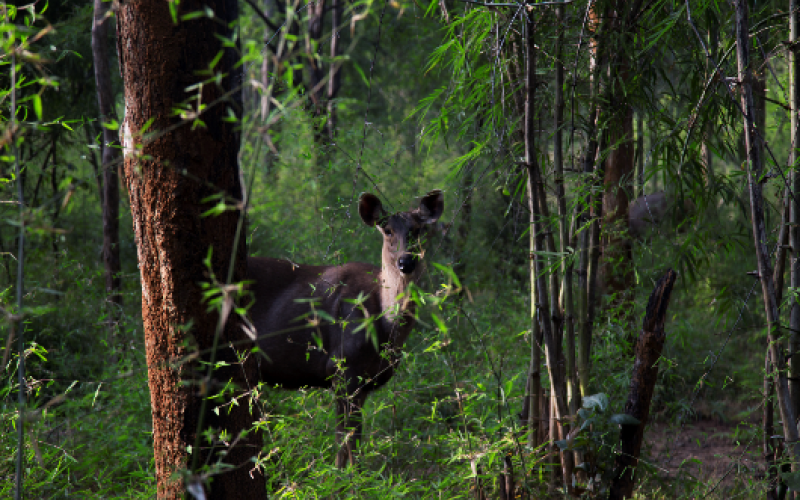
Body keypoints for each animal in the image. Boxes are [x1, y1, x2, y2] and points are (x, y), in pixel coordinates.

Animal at [248, 189, 444, 466]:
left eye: (418, 229)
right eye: (387, 230)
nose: (406, 261)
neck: (385, 327)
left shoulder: (364, 381)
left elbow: (353, 440)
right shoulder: (342, 367)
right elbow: (345, 441)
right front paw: (344, 475)